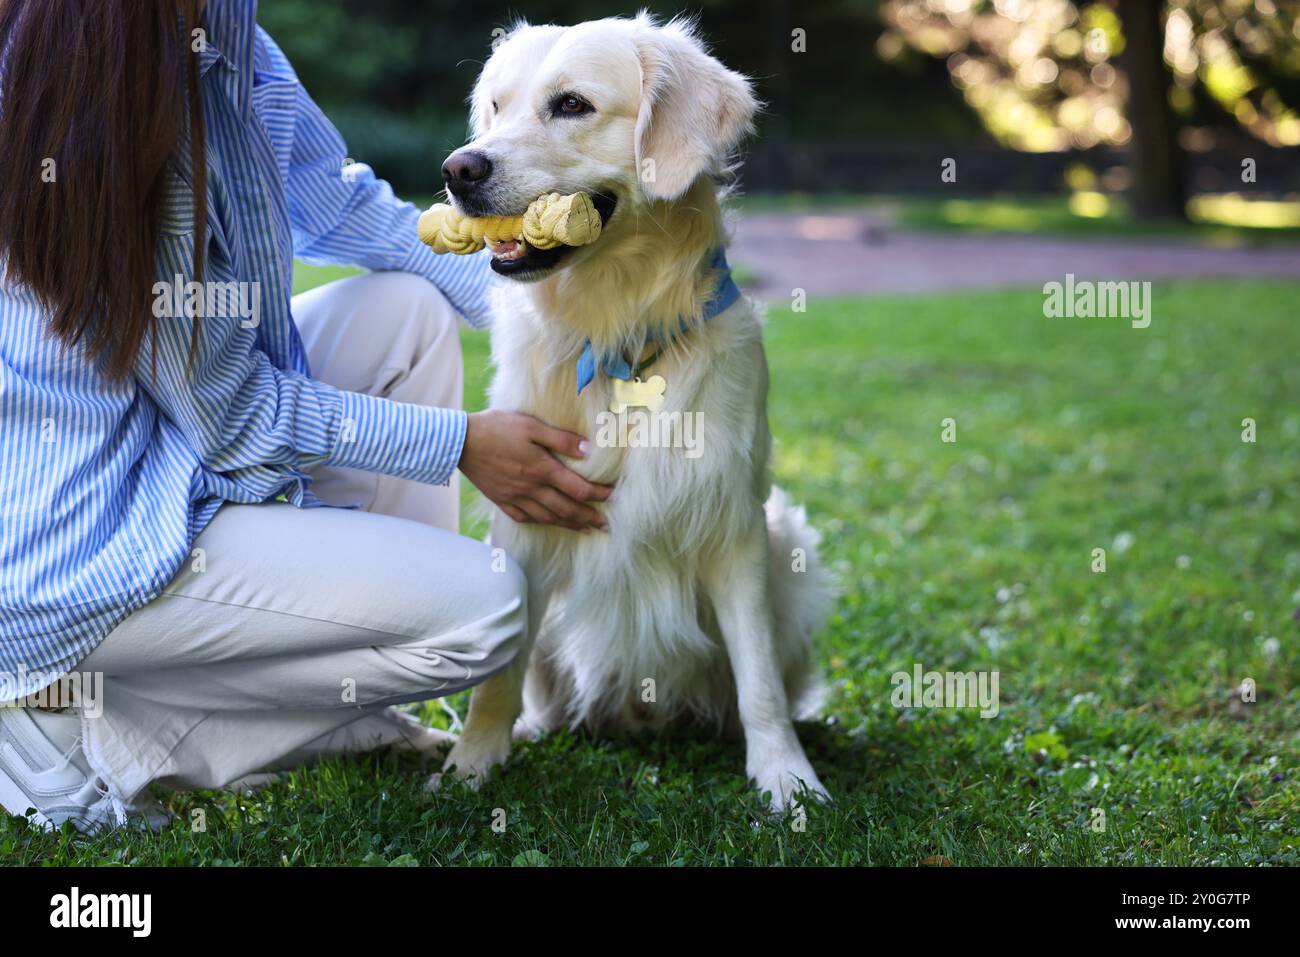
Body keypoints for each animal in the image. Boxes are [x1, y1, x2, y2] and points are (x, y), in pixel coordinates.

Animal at [431, 13, 826, 806]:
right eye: (496, 107)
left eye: (572, 105)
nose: (459, 169)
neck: (614, 331)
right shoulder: (526, 519)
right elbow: (497, 679)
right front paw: (472, 764)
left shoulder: (733, 523)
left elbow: (761, 678)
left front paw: (786, 776)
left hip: (790, 548)